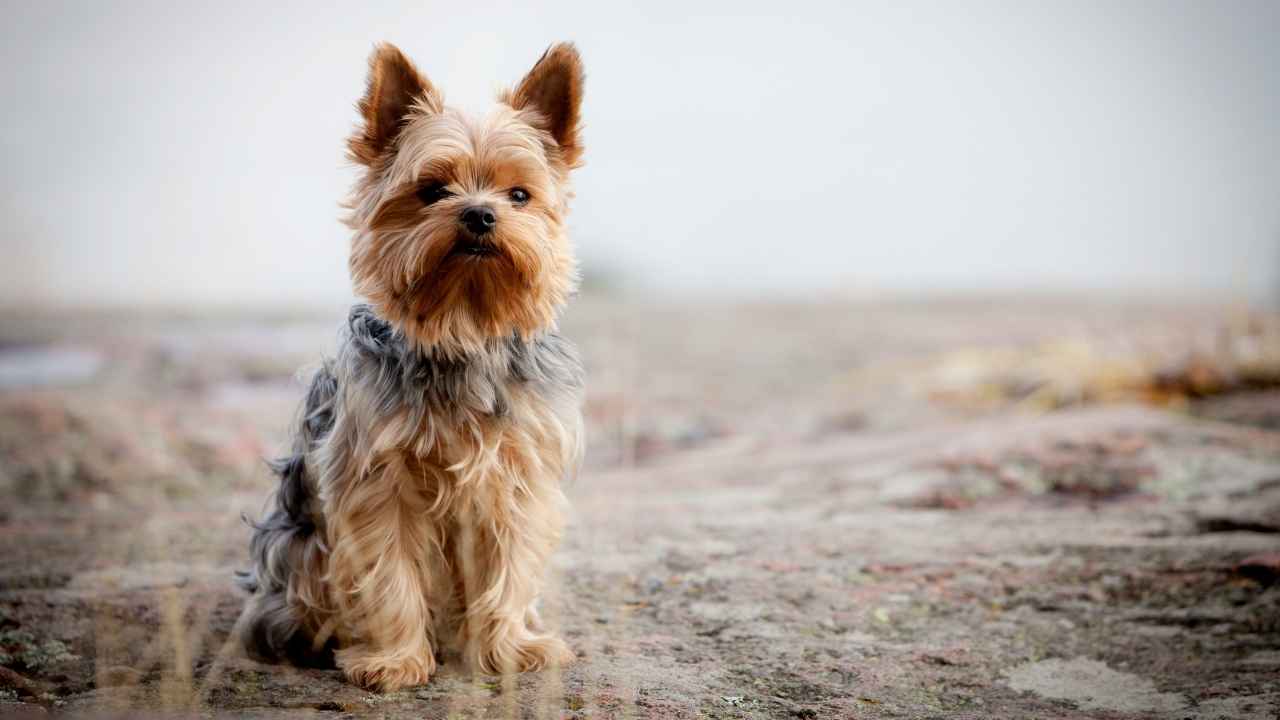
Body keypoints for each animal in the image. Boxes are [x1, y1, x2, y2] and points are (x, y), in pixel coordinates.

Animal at [235, 40, 586, 691]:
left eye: (519, 196)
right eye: (432, 190)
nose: (479, 215)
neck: (463, 327)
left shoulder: (515, 476)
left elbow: (510, 564)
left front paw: (509, 648)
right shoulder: (377, 481)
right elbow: (388, 571)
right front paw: (395, 661)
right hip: (298, 548)